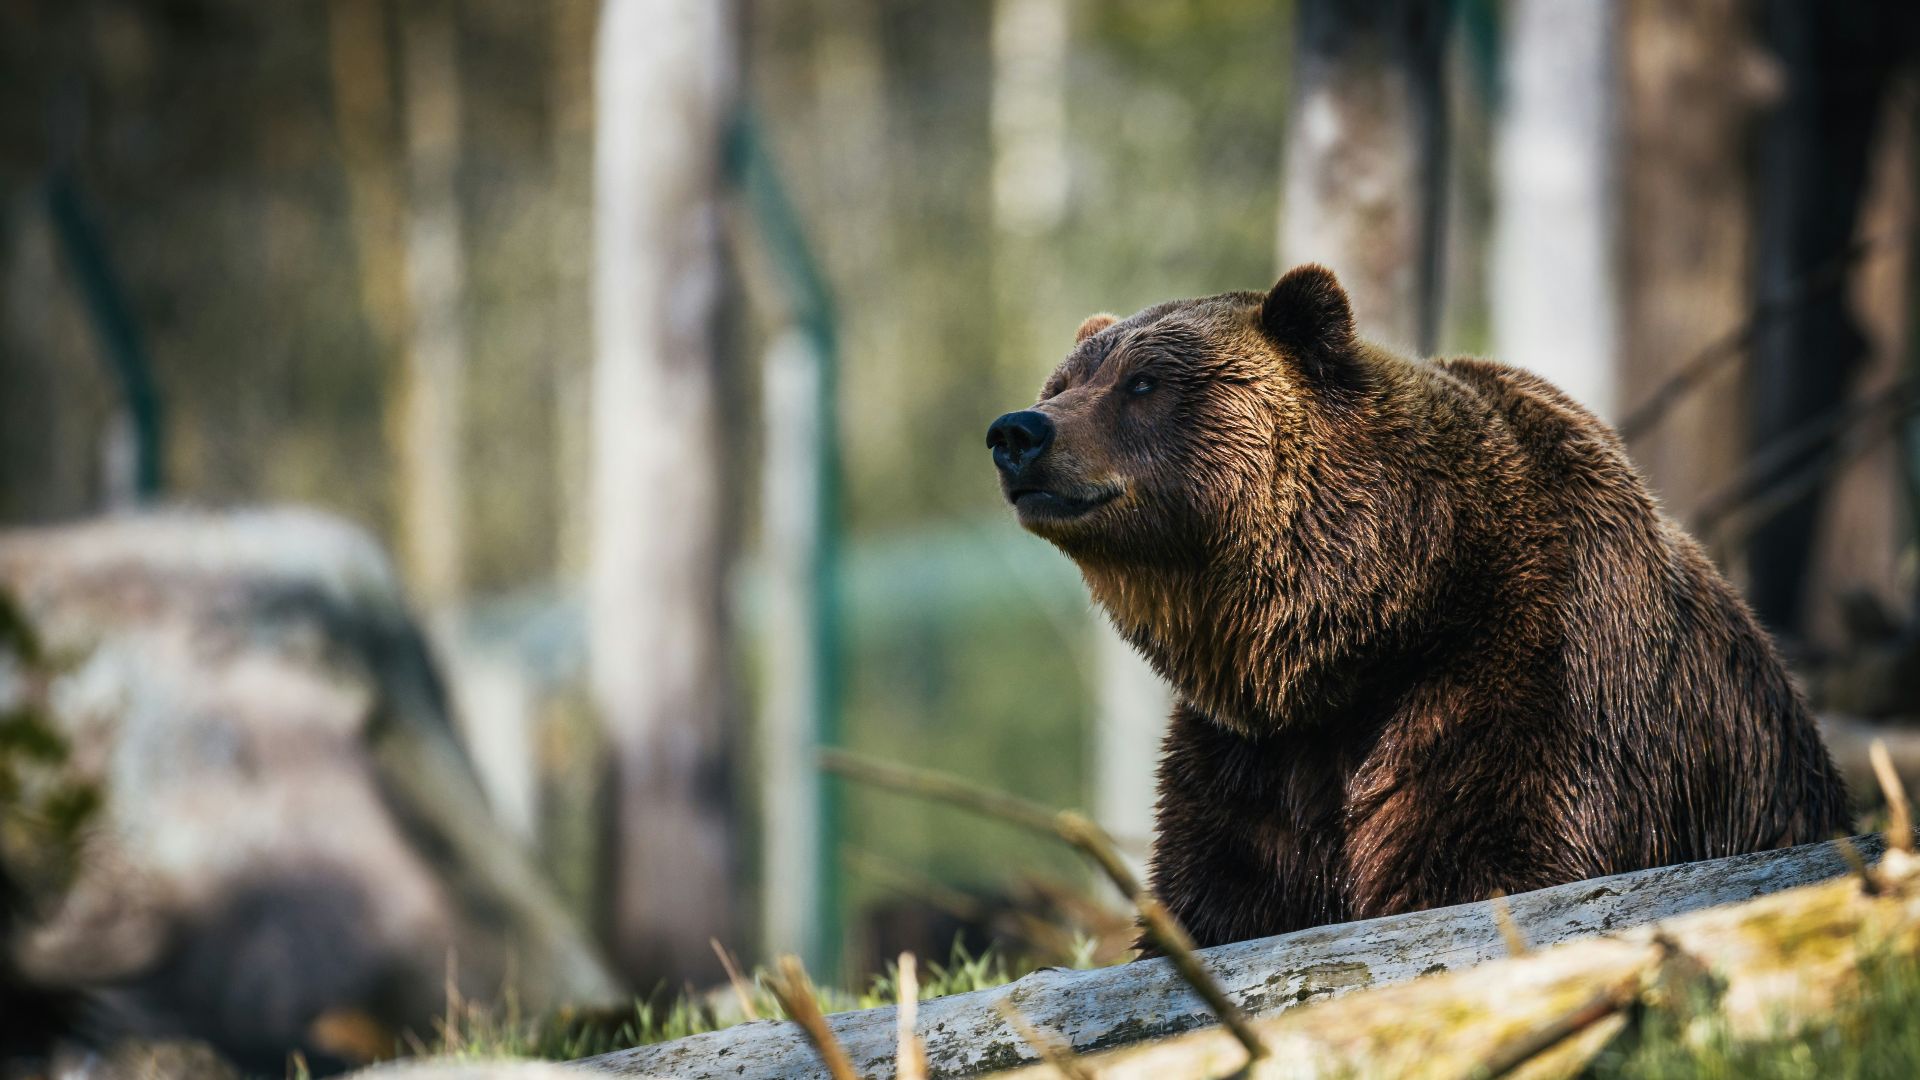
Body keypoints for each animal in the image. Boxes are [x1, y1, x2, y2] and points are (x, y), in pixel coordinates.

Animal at [985, 264, 1852, 948]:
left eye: (1144, 383)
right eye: (1062, 384)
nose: (1018, 431)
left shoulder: (1530, 679)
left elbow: (1486, 861)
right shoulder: (1253, 757)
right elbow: (1222, 895)